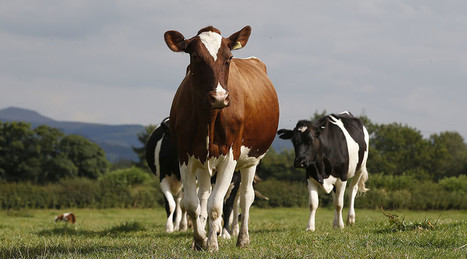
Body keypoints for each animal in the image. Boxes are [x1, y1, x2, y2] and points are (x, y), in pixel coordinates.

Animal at [165, 26, 278, 252]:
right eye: (196, 57)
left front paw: (212, 244)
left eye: (229, 58)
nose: (219, 97)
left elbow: (216, 205)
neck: (209, 118)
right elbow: (193, 205)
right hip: (204, 161)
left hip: (251, 160)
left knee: (246, 197)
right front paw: (200, 240)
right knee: (203, 196)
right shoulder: (185, 155)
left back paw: (242, 239)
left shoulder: (230, 156)